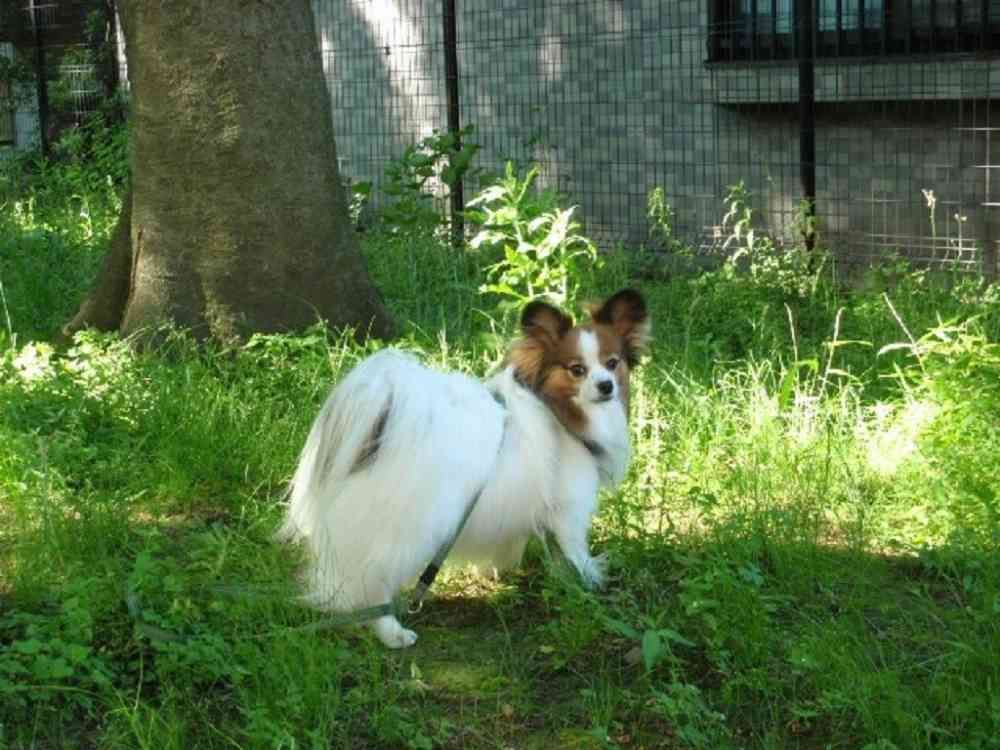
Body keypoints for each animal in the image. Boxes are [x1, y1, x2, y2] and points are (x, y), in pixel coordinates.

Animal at [278, 289, 650, 648]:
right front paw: (590, 584)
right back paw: (393, 633)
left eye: (612, 363)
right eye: (577, 370)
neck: (558, 412)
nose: (606, 386)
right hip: (409, 532)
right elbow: (576, 552)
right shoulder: (570, 511)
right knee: (373, 583)